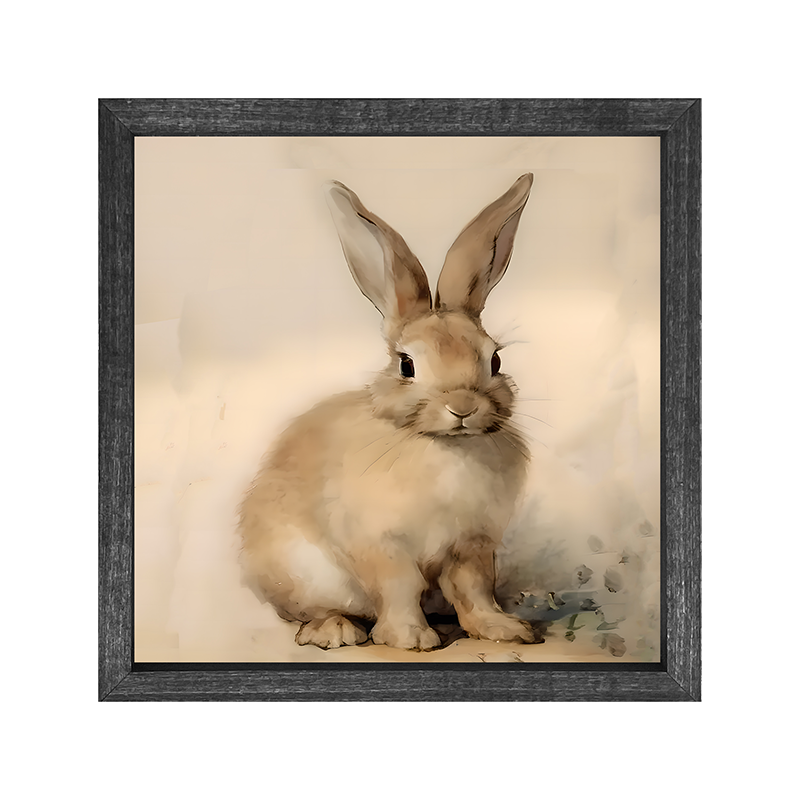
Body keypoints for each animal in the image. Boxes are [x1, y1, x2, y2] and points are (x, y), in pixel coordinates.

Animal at [238, 173, 536, 651]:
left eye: (494, 360)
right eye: (406, 365)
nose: (463, 406)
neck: (443, 447)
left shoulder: (471, 544)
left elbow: (474, 589)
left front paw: (504, 630)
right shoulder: (381, 545)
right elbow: (399, 587)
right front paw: (411, 638)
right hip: (302, 574)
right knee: (312, 612)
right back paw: (336, 631)